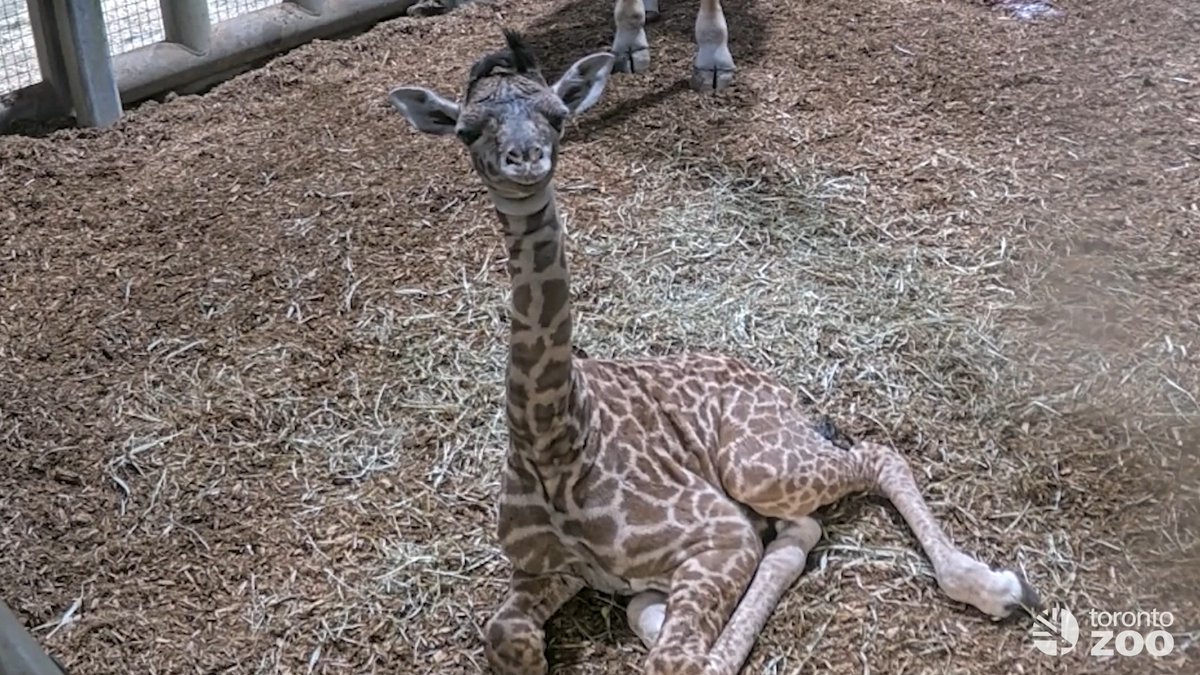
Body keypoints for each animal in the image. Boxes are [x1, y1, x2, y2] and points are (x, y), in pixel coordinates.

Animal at [386, 30, 1042, 675]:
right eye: (467, 129)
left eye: (557, 116)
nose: (525, 160)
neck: (554, 445)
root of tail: (782, 391)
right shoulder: (547, 569)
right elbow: (509, 637)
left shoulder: (721, 534)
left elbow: (680, 660)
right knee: (794, 533)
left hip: (757, 466)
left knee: (876, 457)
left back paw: (999, 588)